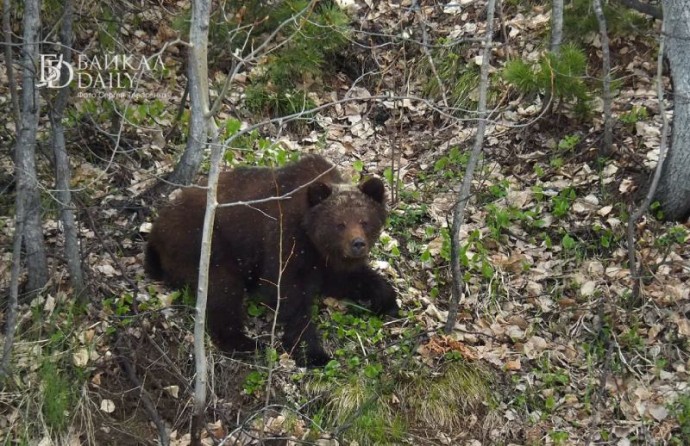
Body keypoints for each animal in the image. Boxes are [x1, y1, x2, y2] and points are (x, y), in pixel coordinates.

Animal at [145, 155, 398, 368]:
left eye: (364, 221)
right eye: (340, 224)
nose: (357, 244)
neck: (311, 237)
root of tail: (156, 230)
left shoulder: (326, 260)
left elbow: (348, 278)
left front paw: (386, 300)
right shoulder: (284, 239)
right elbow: (287, 293)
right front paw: (314, 352)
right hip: (202, 244)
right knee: (223, 291)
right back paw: (246, 343)